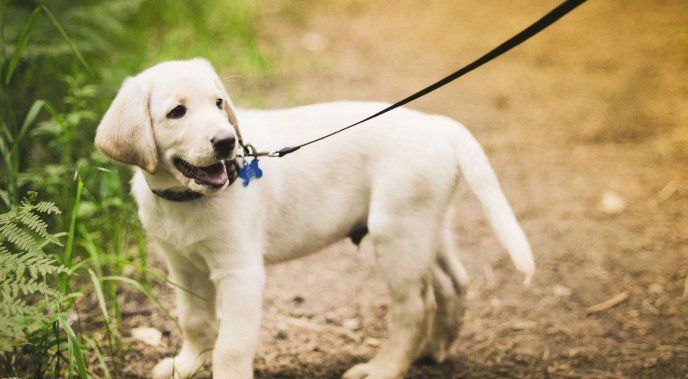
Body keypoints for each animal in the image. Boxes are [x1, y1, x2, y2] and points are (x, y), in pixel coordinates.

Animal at [94, 58, 536, 378]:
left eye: (219, 103)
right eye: (177, 112)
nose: (226, 141)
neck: (186, 199)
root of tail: (435, 124)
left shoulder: (240, 272)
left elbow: (232, 344)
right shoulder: (183, 265)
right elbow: (195, 321)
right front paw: (187, 366)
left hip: (397, 234)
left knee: (414, 307)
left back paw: (385, 368)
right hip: (427, 225)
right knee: (452, 283)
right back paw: (433, 351)